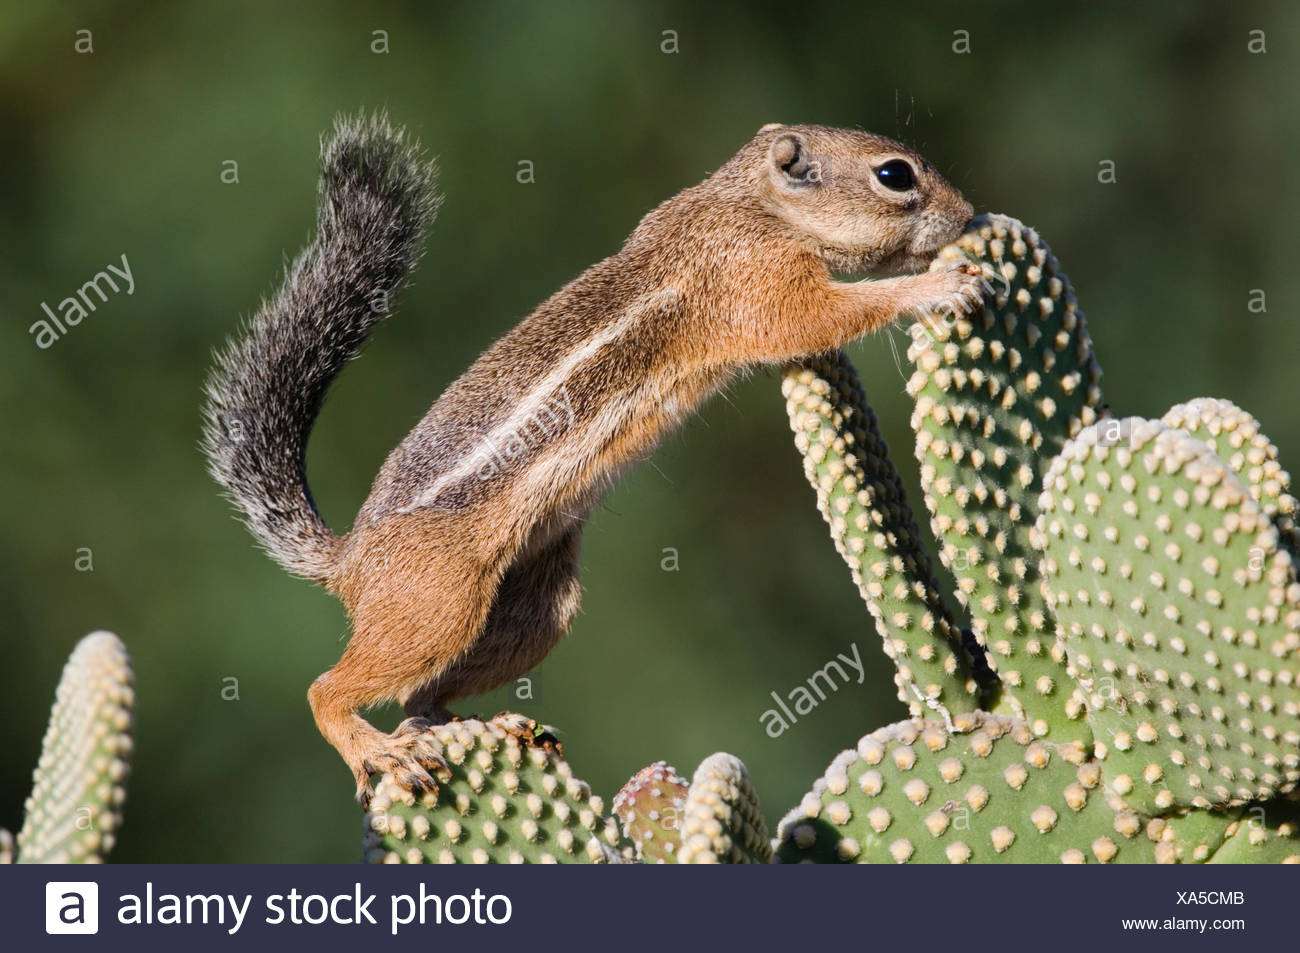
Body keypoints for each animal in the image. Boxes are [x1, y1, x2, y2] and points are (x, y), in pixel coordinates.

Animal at [201, 112, 983, 803]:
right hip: (437, 604)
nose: (970, 213)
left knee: (422, 696)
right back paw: (376, 749)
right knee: (330, 689)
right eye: (894, 174)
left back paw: (491, 725)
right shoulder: (756, 281)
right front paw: (938, 284)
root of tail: (350, 561)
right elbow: (823, 316)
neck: (749, 205)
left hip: (535, 611)